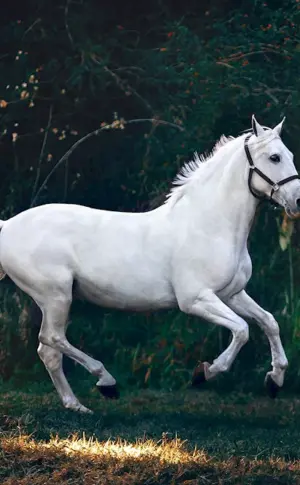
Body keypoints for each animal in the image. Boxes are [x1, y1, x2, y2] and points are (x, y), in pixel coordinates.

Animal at [0, 114, 300, 412]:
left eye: (290, 155)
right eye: (274, 157)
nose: (297, 201)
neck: (208, 225)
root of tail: (8, 225)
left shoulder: (231, 294)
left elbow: (269, 322)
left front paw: (275, 380)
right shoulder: (196, 300)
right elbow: (242, 330)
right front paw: (205, 372)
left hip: (54, 300)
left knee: (48, 351)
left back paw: (76, 405)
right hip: (56, 297)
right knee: (51, 339)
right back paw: (106, 382)